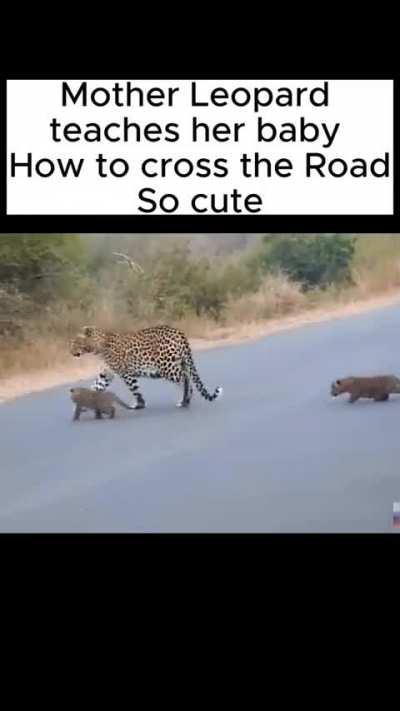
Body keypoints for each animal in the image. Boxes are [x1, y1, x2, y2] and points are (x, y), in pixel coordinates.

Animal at [70, 325, 223, 409]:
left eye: (76, 342)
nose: (70, 352)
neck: (97, 347)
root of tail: (178, 332)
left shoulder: (126, 373)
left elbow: (135, 390)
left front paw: (139, 405)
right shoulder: (106, 374)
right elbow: (95, 387)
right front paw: (83, 401)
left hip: (167, 366)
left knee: (185, 379)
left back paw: (184, 401)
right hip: (179, 362)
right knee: (187, 377)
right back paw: (186, 401)